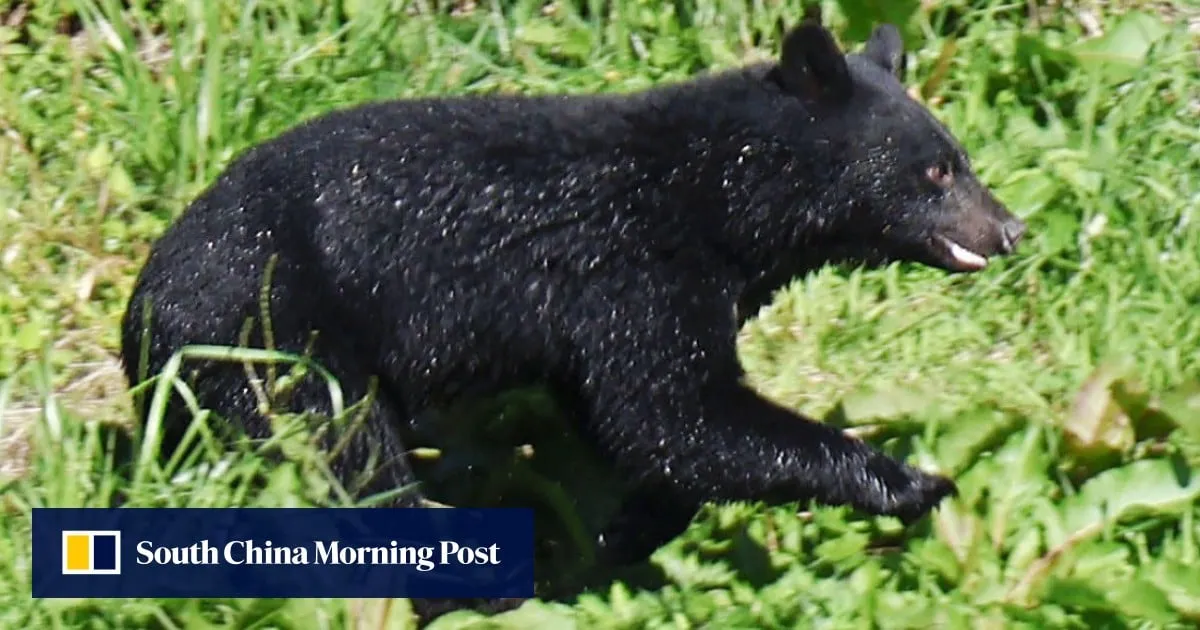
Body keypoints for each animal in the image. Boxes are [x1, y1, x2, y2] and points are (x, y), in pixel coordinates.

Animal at [118, 18, 1026, 623]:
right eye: (937, 170)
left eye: (960, 157)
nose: (1011, 229)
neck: (716, 195)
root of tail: (140, 318)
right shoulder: (633, 270)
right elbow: (673, 414)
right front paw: (912, 481)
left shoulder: (592, 321)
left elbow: (629, 427)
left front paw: (620, 537)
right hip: (272, 337)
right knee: (349, 459)